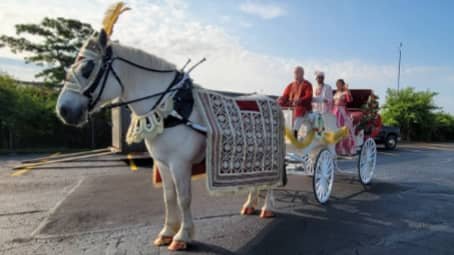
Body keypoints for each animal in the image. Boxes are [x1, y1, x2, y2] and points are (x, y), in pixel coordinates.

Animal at [55, 28, 274, 250]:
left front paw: (182, 236)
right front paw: (167, 232)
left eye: (87, 68)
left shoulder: (180, 163)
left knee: (271, 183)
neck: (170, 108)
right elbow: (169, 197)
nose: (63, 110)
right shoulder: (162, 163)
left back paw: (267, 208)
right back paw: (250, 205)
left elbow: (183, 198)